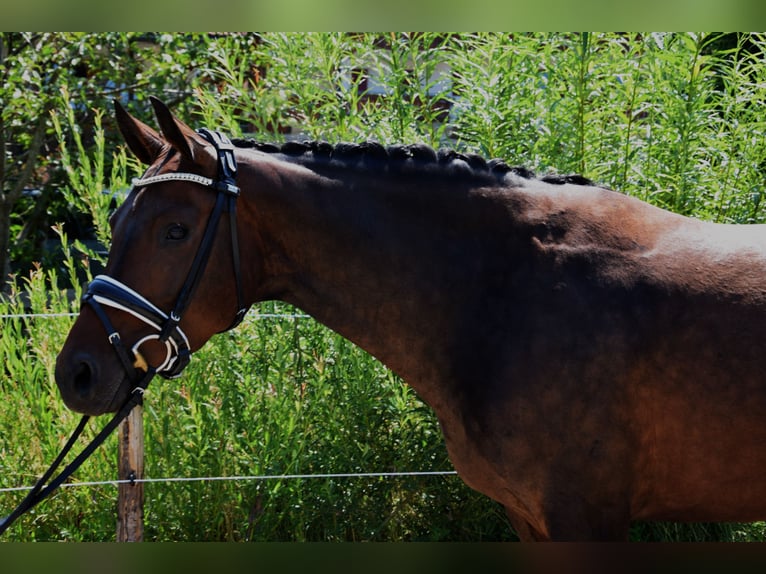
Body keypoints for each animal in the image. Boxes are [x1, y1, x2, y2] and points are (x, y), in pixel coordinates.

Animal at [55, 97, 766, 544]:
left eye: (175, 230)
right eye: (116, 220)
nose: (76, 373)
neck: (508, 292)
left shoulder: (584, 520)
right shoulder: (532, 520)